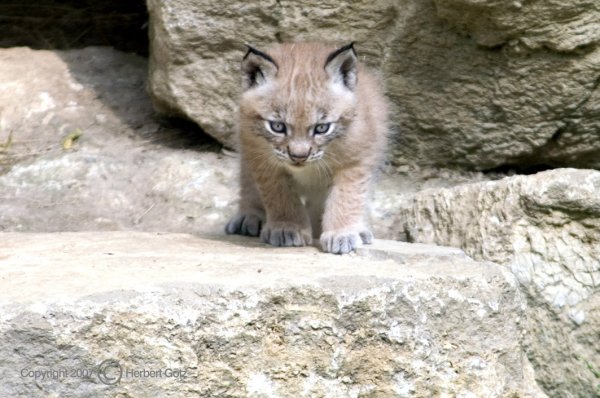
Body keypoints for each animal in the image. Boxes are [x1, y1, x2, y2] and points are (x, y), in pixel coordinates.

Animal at [225, 42, 390, 253]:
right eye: (277, 126)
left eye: (322, 128)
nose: (299, 156)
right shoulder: (262, 158)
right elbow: (278, 194)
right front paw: (287, 228)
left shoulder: (357, 160)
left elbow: (347, 196)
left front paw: (342, 232)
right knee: (247, 182)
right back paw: (249, 215)